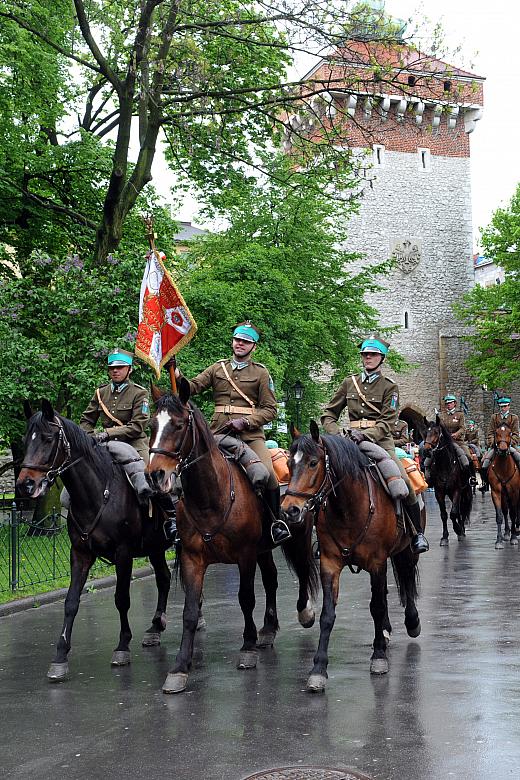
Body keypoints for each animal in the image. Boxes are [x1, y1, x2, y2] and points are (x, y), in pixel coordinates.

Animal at [16, 402, 173, 684]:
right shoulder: (79, 554)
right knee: (165, 578)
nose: (25, 484)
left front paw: (122, 646)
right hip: (155, 548)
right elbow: (71, 602)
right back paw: (155, 627)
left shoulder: (123, 554)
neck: (97, 493)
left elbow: (122, 598)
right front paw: (60, 657)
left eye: (47, 438)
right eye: (25, 440)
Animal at [144, 380, 318, 696]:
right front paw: (179, 668)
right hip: (264, 549)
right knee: (272, 579)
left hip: (296, 536)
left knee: (302, 570)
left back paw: (304, 613)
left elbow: (246, 598)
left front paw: (247, 648)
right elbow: (190, 611)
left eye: (178, 425)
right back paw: (268, 629)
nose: (155, 475)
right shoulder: (192, 558)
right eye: (152, 424)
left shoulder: (245, 555)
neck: (211, 497)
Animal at [280, 424, 422, 692]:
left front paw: (378, 656)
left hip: (406, 549)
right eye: (289, 464)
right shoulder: (330, 564)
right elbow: (327, 615)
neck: (348, 508)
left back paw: (411, 622)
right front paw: (318, 669)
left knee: (407, 581)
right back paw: (385, 631)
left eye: (313, 463)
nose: (290, 510)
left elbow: (377, 607)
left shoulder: (377, 562)